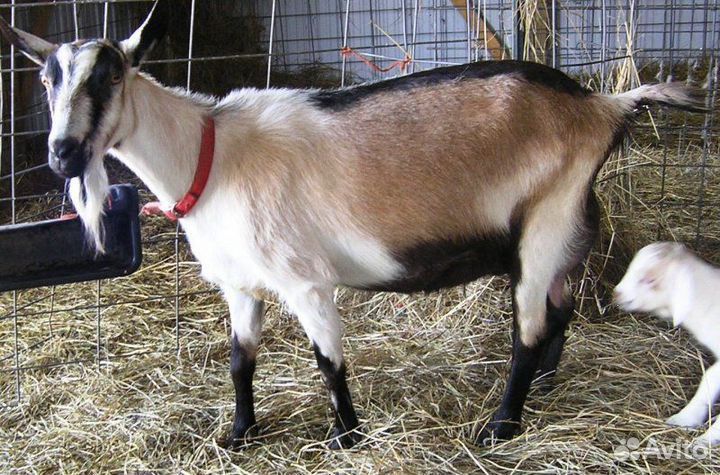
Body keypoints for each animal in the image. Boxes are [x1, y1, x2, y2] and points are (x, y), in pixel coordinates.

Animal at [0, 1, 707, 449]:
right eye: (47, 78)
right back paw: (545, 388)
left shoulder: (305, 281)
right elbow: (239, 362)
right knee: (561, 312)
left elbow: (328, 361)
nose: (62, 154)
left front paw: (346, 436)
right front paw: (239, 435)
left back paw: (502, 424)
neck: (212, 156)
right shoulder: (240, 285)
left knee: (530, 329)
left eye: (110, 75)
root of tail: (604, 105)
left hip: (546, 224)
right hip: (561, 234)